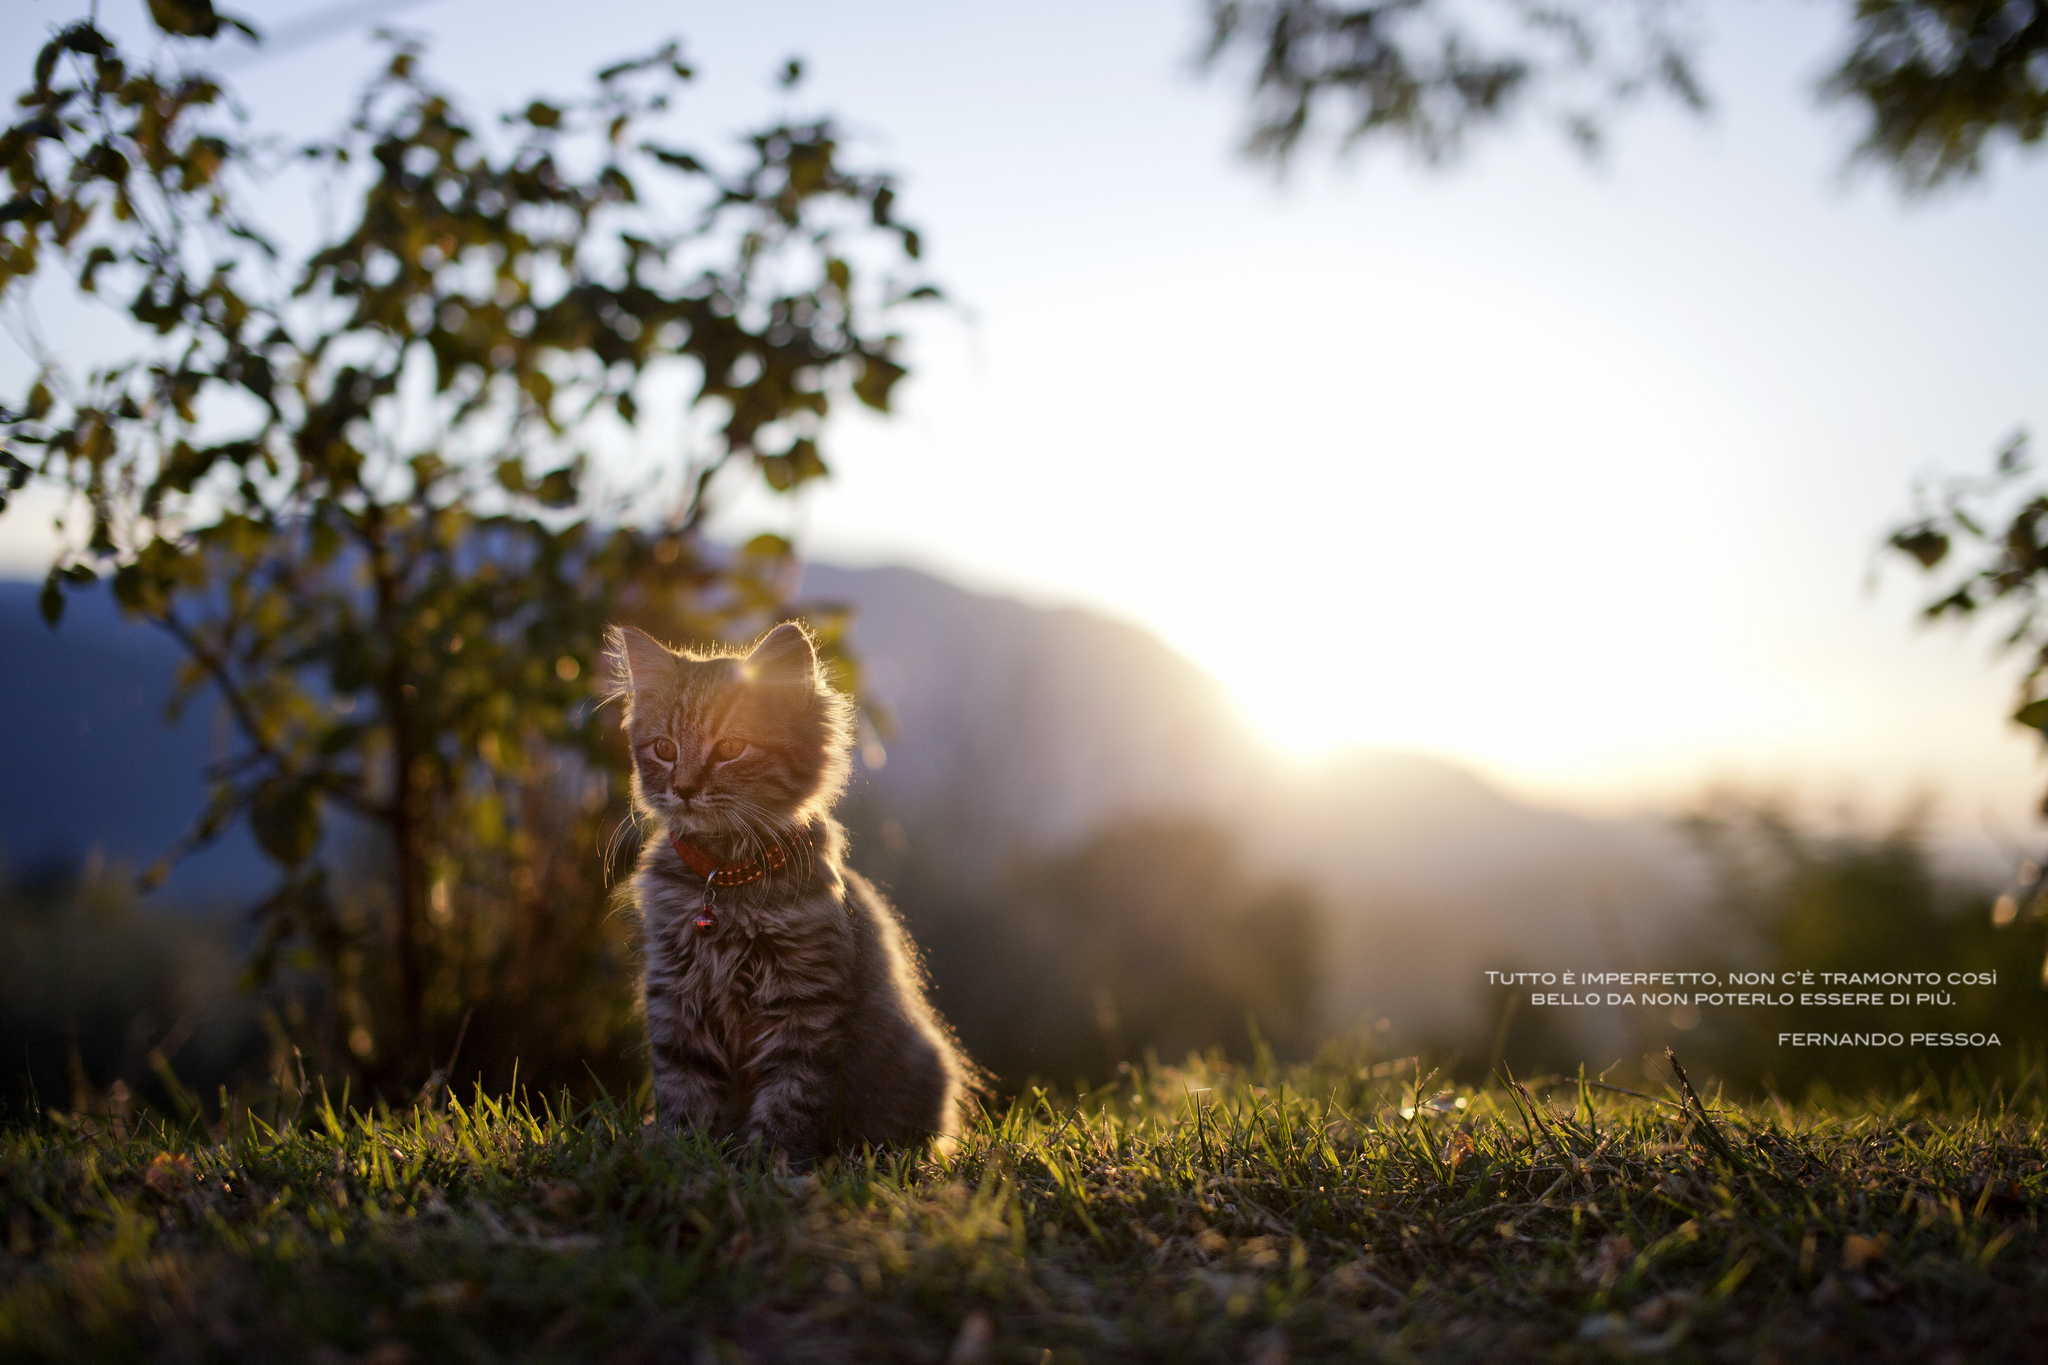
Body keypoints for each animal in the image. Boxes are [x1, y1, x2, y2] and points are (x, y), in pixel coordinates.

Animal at [606, 618, 966, 1162]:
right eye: (664, 750)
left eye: (730, 749)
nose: (684, 789)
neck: (727, 879)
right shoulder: (675, 989)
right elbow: (684, 1085)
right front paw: (683, 1150)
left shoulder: (804, 999)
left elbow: (791, 1093)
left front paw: (767, 1160)